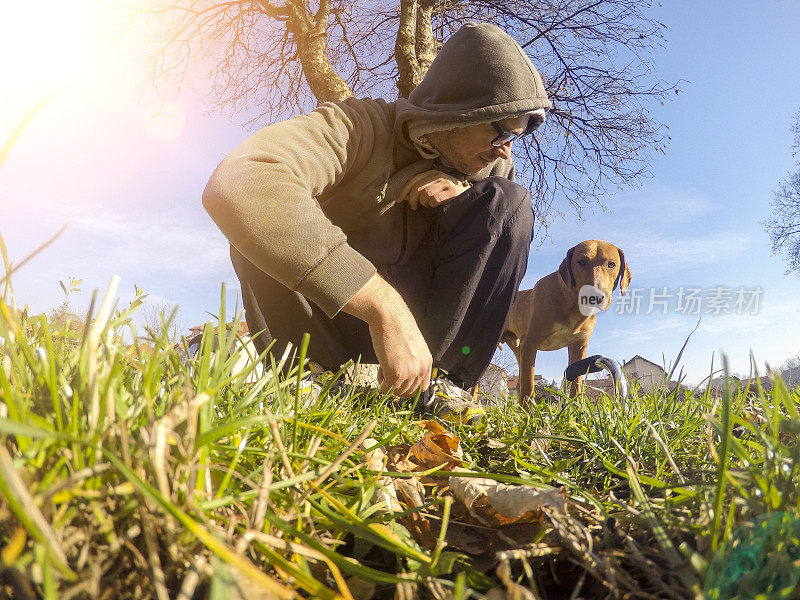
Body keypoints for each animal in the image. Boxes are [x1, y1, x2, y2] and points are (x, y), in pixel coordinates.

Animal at [500, 239, 632, 404]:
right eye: (581, 261)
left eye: (611, 264)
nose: (596, 296)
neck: (571, 305)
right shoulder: (530, 343)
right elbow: (528, 387)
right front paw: (527, 411)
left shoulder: (579, 346)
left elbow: (576, 383)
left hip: (519, 349)